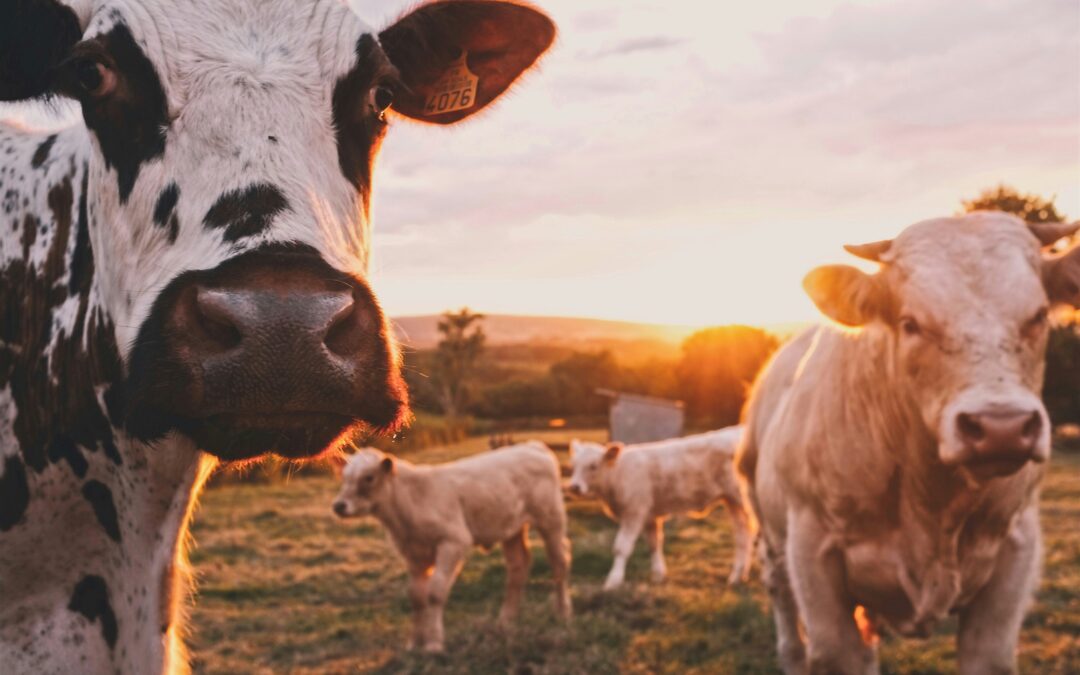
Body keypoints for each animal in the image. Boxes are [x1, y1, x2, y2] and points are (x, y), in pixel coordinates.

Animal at [332, 440, 574, 652]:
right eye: (344, 476)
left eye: (369, 477)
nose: (339, 505)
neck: (410, 504)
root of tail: (532, 446)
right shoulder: (413, 554)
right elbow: (416, 597)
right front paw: (414, 643)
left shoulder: (454, 541)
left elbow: (435, 593)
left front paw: (434, 643)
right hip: (512, 528)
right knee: (518, 566)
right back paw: (506, 619)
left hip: (551, 519)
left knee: (559, 562)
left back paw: (563, 612)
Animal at [570, 425, 756, 587]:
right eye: (573, 466)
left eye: (593, 466)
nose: (574, 487)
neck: (618, 474)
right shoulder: (650, 516)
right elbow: (654, 544)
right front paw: (658, 575)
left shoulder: (634, 512)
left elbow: (621, 547)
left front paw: (613, 581)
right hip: (732, 501)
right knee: (743, 534)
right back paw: (738, 576)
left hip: (743, 498)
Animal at [738, 211, 1080, 673]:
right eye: (910, 323)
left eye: (1039, 315)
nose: (1001, 427)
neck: (933, 501)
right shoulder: (812, 554)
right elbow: (834, 651)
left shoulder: (1016, 550)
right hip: (771, 538)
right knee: (785, 611)